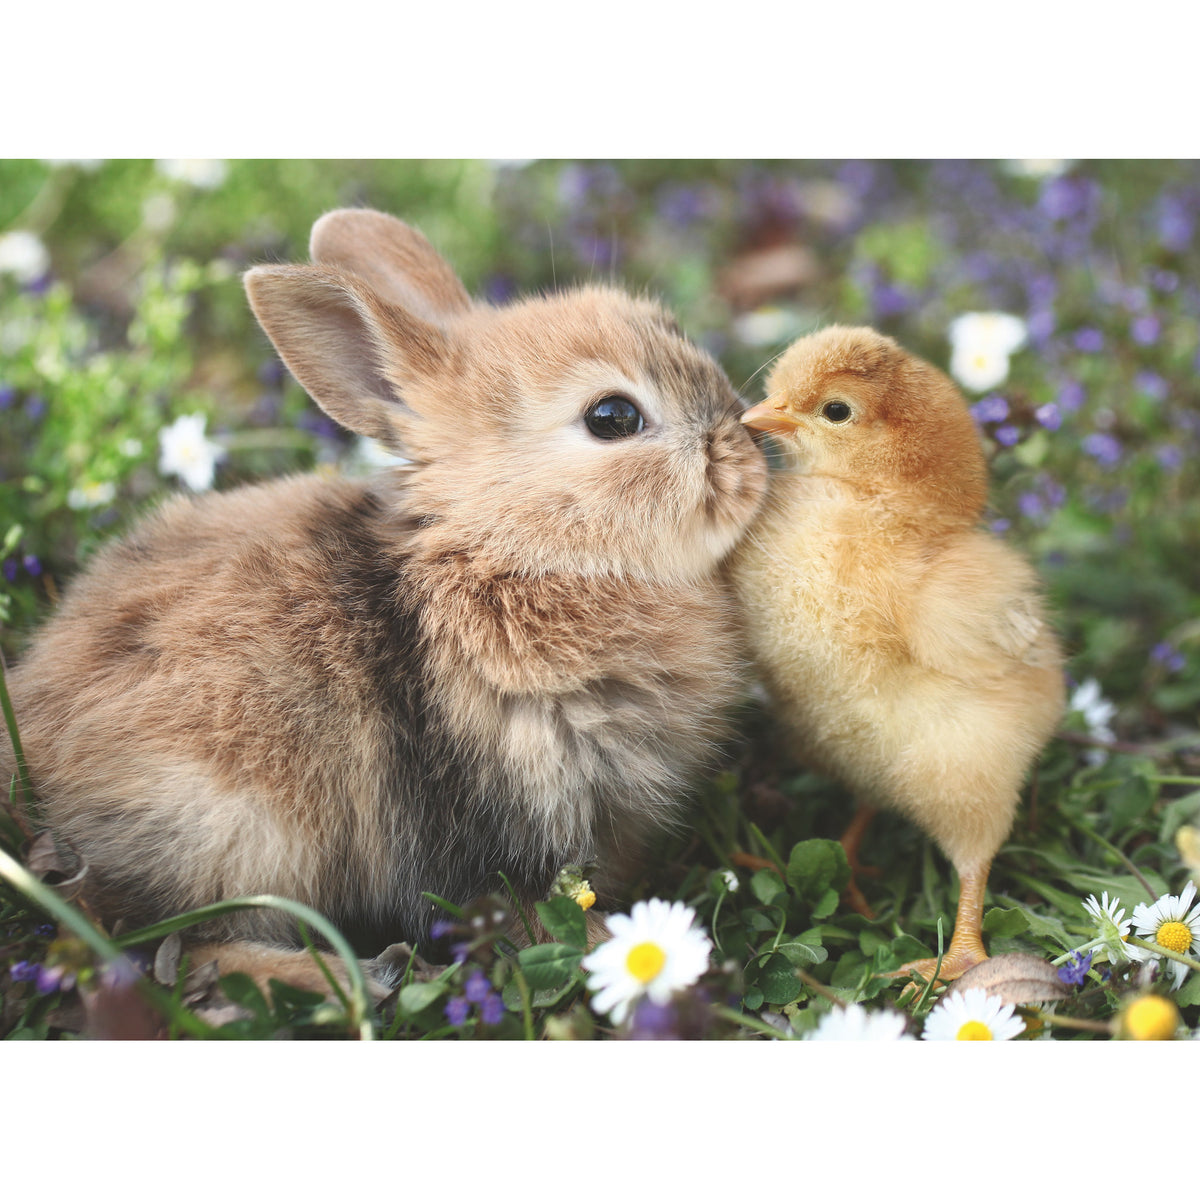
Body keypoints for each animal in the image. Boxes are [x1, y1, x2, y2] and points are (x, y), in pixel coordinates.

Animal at [2, 208, 768, 996]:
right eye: (612, 417)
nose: (747, 447)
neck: (505, 549)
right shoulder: (487, 821)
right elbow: (521, 910)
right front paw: (623, 950)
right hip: (230, 826)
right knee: (182, 950)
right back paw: (357, 977)